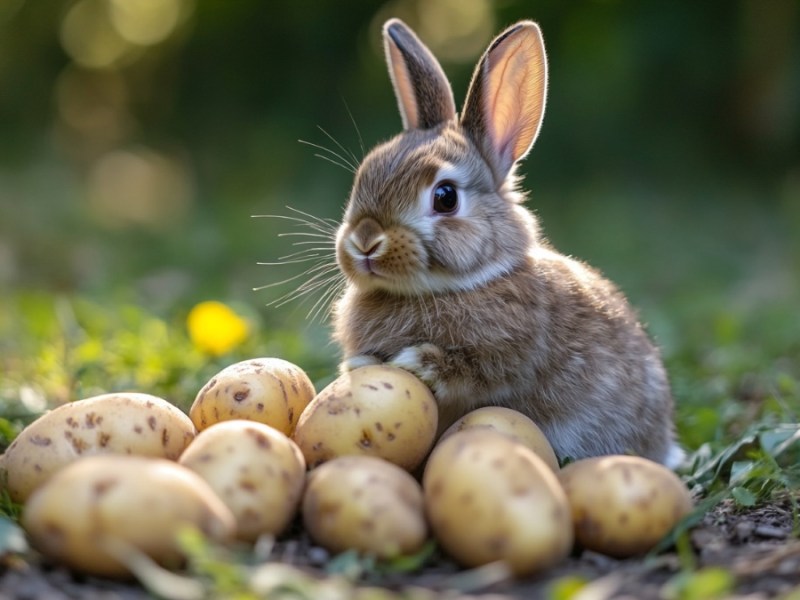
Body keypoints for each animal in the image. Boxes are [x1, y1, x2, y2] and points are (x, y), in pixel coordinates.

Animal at [326, 17, 680, 468]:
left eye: (445, 197)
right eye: (362, 177)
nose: (366, 240)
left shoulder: (505, 360)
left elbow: (475, 373)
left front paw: (415, 363)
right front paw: (360, 363)